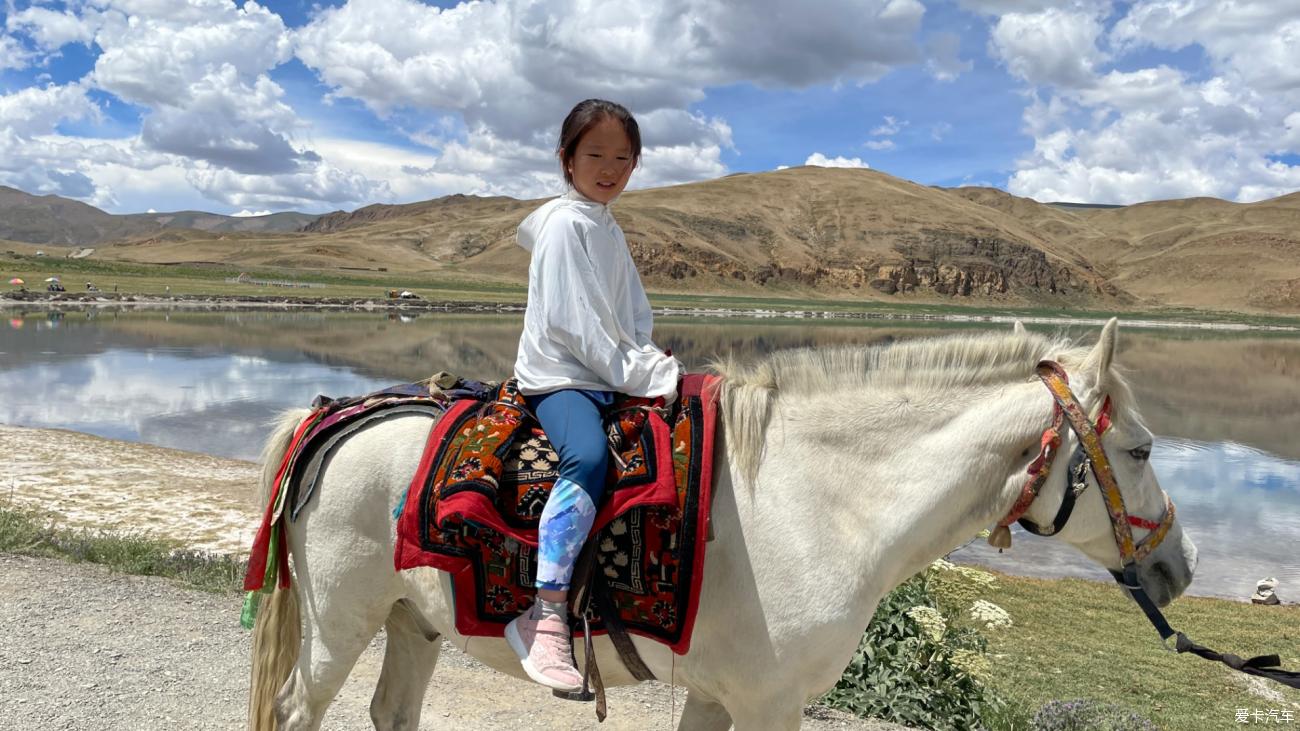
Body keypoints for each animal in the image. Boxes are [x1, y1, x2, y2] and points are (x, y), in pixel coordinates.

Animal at [244, 319, 1196, 728]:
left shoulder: (713, 693)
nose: (1181, 564)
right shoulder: (770, 702)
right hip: (340, 621)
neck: (817, 501)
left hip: (413, 620)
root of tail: (339, 415)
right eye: (1143, 447)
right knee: (297, 710)